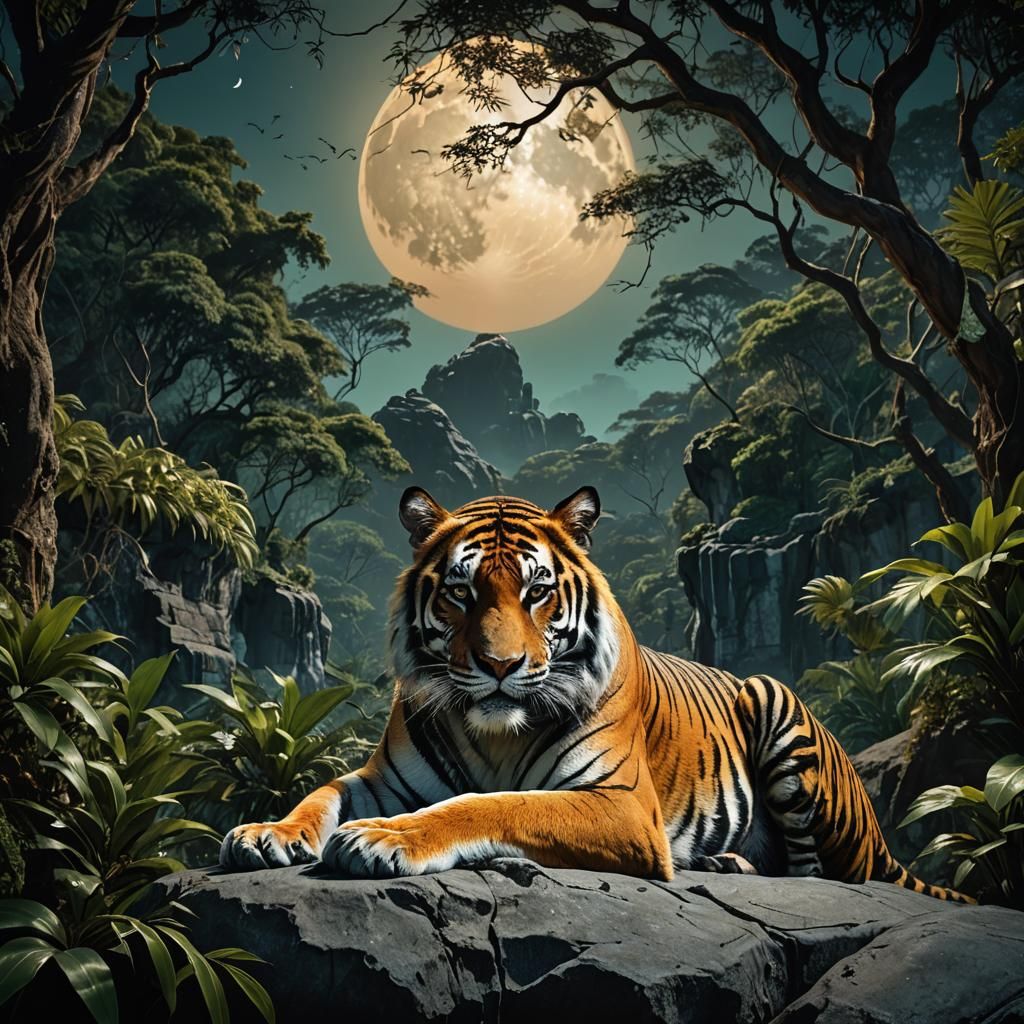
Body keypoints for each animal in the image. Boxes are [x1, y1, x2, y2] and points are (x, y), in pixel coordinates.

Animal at [220, 486, 970, 902]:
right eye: (461, 592)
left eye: (536, 591)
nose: (500, 664)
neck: (495, 731)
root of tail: (879, 834)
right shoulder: (383, 777)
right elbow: (321, 794)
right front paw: (267, 834)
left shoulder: (621, 803)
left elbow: (493, 803)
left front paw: (382, 838)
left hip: (776, 710)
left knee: (819, 873)